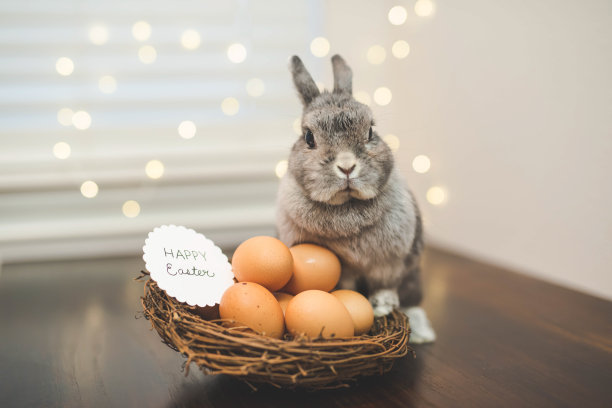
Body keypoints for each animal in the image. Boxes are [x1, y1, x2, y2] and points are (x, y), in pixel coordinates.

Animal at [278, 52, 436, 342]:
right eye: (309, 137)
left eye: (371, 131)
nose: (347, 167)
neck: (348, 206)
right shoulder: (344, 270)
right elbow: (346, 289)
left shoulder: (390, 264)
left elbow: (386, 287)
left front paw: (382, 307)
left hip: (412, 277)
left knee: (412, 301)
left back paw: (422, 334)